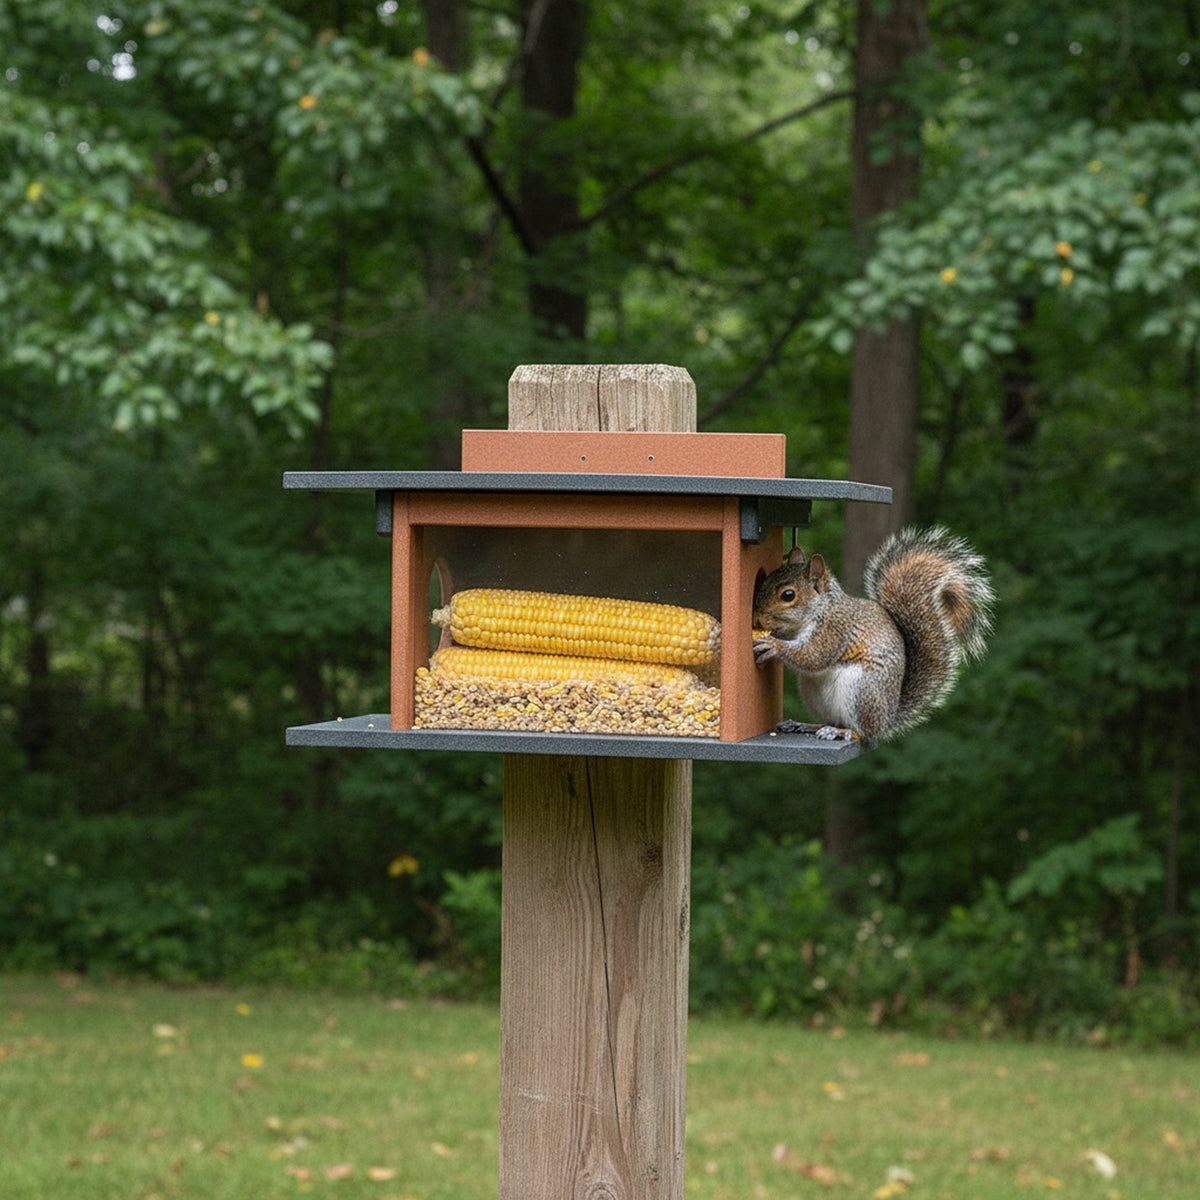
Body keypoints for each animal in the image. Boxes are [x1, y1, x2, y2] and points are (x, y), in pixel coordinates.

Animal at [751, 526, 994, 743]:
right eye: (765, 581)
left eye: (788, 595)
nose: (756, 618)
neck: (821, 609)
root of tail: (887, 720)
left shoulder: (835, 630)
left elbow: (814, 655)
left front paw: (773, 645)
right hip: (815, 695)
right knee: (834, 721)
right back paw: (806, 725)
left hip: (862, 691)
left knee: (864, 733)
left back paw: (842, 732)